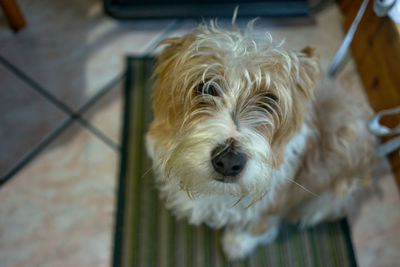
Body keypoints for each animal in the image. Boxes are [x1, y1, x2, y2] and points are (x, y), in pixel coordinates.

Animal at [146, 22, 376, 260]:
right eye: (206, 87)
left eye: (269, 101)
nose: (228, 161)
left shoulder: (272, 202)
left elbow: (257, 225)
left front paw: (238, 243)